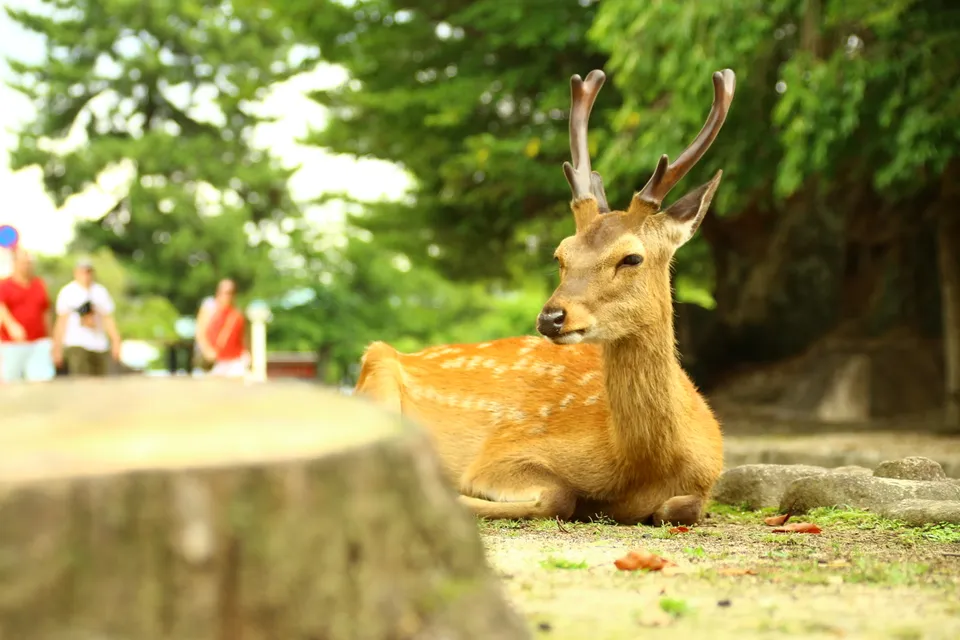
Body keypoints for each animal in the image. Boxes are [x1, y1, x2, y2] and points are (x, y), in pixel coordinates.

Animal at [355, 67, 736, 526]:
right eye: (560, 255)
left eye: (631, 257)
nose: (551, 317)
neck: (642, 467)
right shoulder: (503, 452)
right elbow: (559, 495)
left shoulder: (703, 482)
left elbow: (683, 506)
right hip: (375, 377)